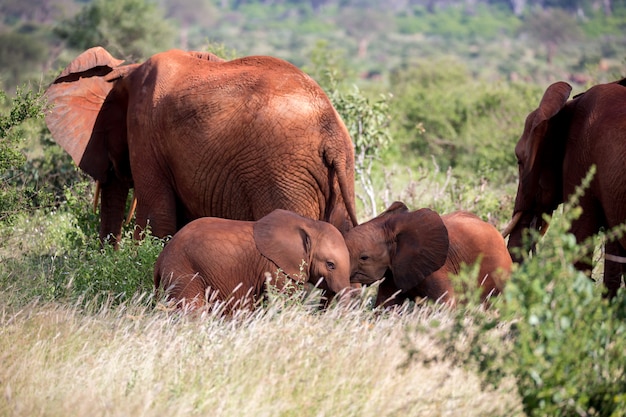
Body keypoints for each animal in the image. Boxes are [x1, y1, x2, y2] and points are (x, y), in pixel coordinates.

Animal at [44, 47, 356, 245]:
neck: (125, 73)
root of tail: (332, 133)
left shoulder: (146, 133)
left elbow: (157, 218)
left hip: (283, 174)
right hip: (331, 177)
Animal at [153, 208, 352, 312]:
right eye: (330, 265)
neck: (309, 224)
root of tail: (160, 258)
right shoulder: (276, 267)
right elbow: (284, 300)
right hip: (183, 271)